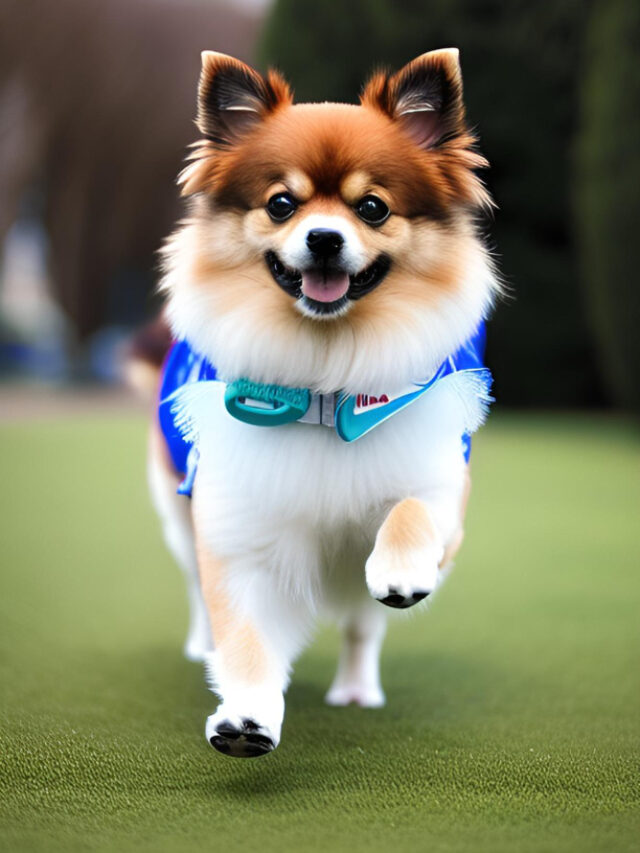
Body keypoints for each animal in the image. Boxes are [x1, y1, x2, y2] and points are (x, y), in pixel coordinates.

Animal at [145, 46, 500, 756]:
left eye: (373, 208)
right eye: (282, 204)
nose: (325, 239)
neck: (324, 387)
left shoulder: (443, 491)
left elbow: (411, 512)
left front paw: (400, 569)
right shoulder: (240, 533)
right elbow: (246, 636)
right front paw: (247, 715)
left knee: (363, 626)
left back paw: (358, 689)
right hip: (178, 516)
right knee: (197, 591)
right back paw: (202, 649)